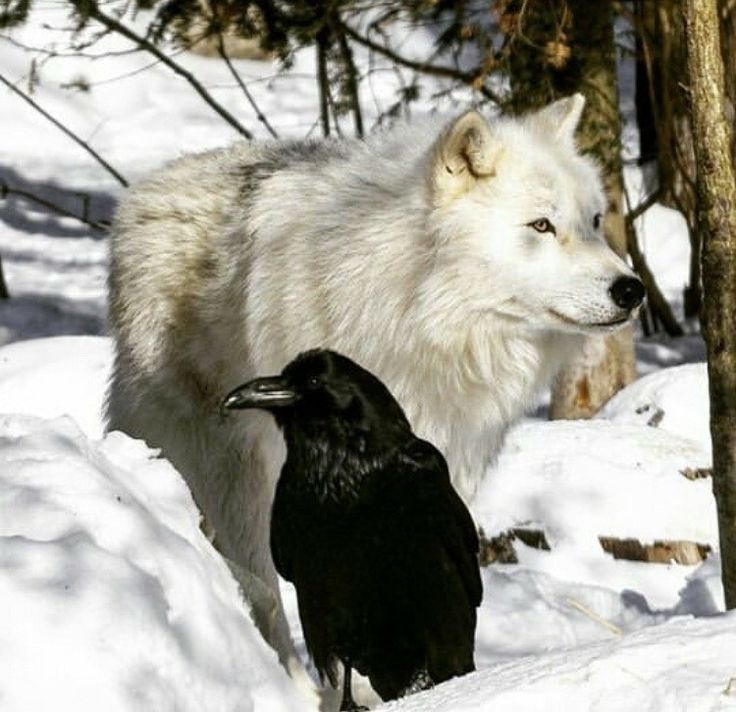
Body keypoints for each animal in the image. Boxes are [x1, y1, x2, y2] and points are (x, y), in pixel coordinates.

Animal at [105, 94, 644, 672]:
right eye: (541, 226)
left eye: (594, 221)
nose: (632, 289)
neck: (421, 317)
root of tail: (143, 191)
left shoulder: (444, 477)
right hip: (232, 479)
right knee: (262, 595)